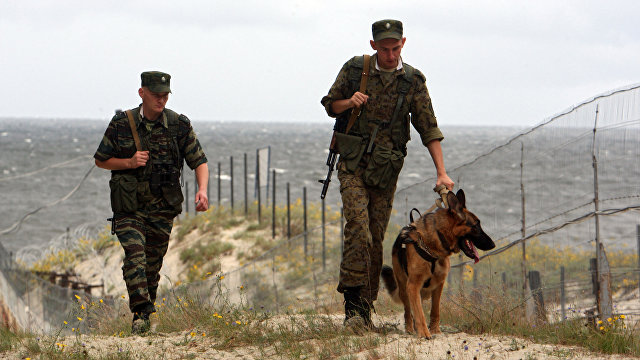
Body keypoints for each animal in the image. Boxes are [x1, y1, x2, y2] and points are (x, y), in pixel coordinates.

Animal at [380, 190, 496, 338]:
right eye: (476, 226)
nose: (493, 245)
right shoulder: (413, 286)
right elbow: (419, 313)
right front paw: (424, 333)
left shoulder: (438, 285)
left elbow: (435, 310)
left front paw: (435, 330)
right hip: (404, 287)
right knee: (408, 311)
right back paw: (410, 329)